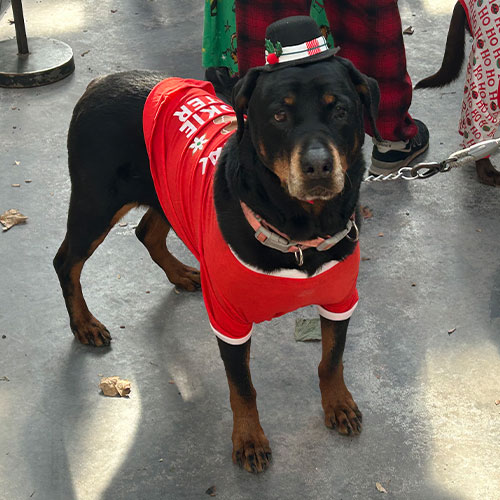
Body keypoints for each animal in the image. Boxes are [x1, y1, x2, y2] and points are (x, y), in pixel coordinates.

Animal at [53, 18, 378, 472]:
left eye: (341, 110)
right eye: (279, 114)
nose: (318, 166)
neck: (299, 228)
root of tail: (99, 82)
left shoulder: (339, 296)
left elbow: (332, 360)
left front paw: (339, 405)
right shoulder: (228, 318)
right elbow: (242, 387)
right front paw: (249, 439)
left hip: (164, 191)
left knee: (146, 233)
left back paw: (181, 273)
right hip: (95, 203)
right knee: (67, 261)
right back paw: (84, 323)